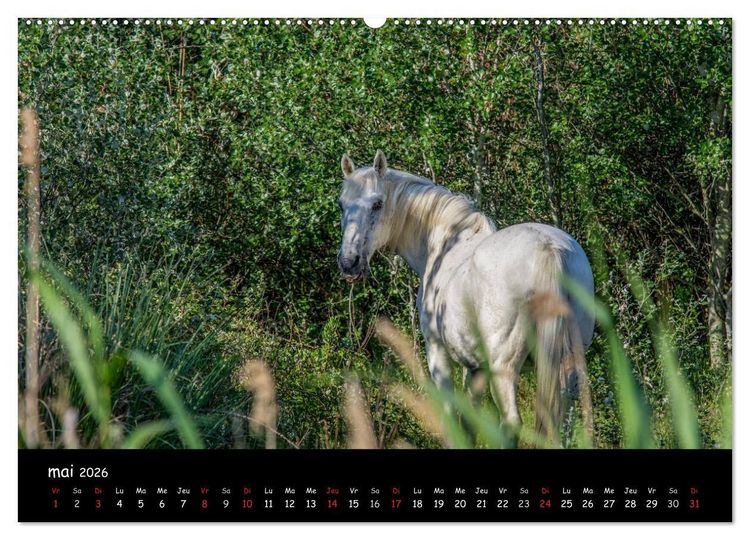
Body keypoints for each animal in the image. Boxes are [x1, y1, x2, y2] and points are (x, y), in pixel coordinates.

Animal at [336, 150, 595, 445]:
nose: (349, 262)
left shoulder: (437, 352)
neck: (446, 243)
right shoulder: (475, 369)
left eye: (377, 204)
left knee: (511, 423)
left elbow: (451, 417)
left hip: (504, 369)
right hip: (566, 368)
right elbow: (470, 422)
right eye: (342, 205)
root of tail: (548, 248)